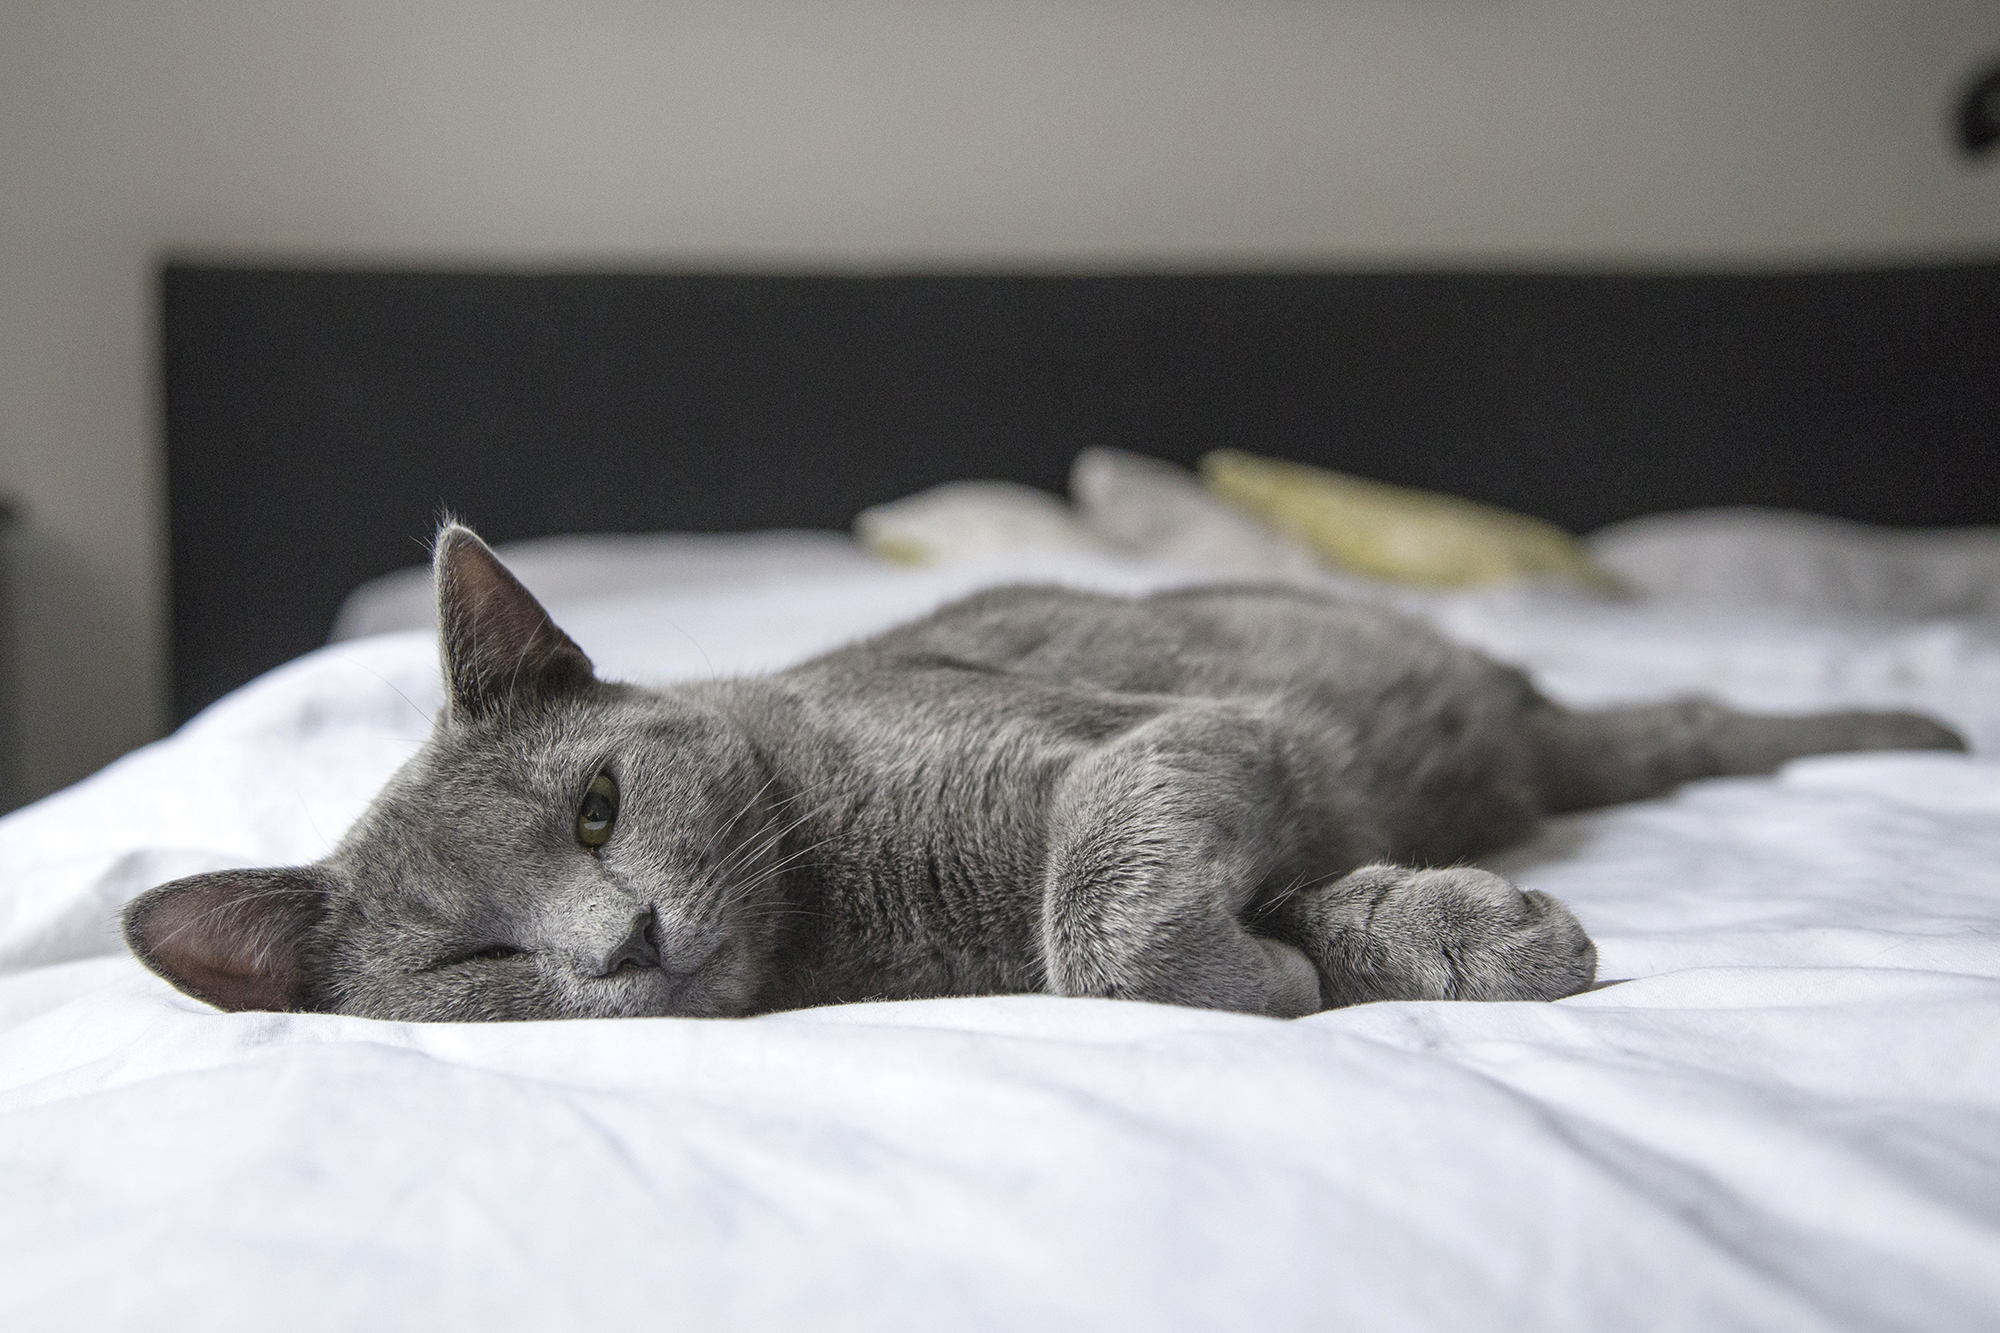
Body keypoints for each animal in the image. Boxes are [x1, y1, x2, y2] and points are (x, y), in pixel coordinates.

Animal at [121, 520, 1968, 1016]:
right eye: (474, 961)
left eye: (595, 807)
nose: (624, 940)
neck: (855, 925)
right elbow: (1182, 929)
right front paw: (1407, 942)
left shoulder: (1156, 739)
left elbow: (1101, 912)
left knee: (1697, 719)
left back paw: (1926, 732)